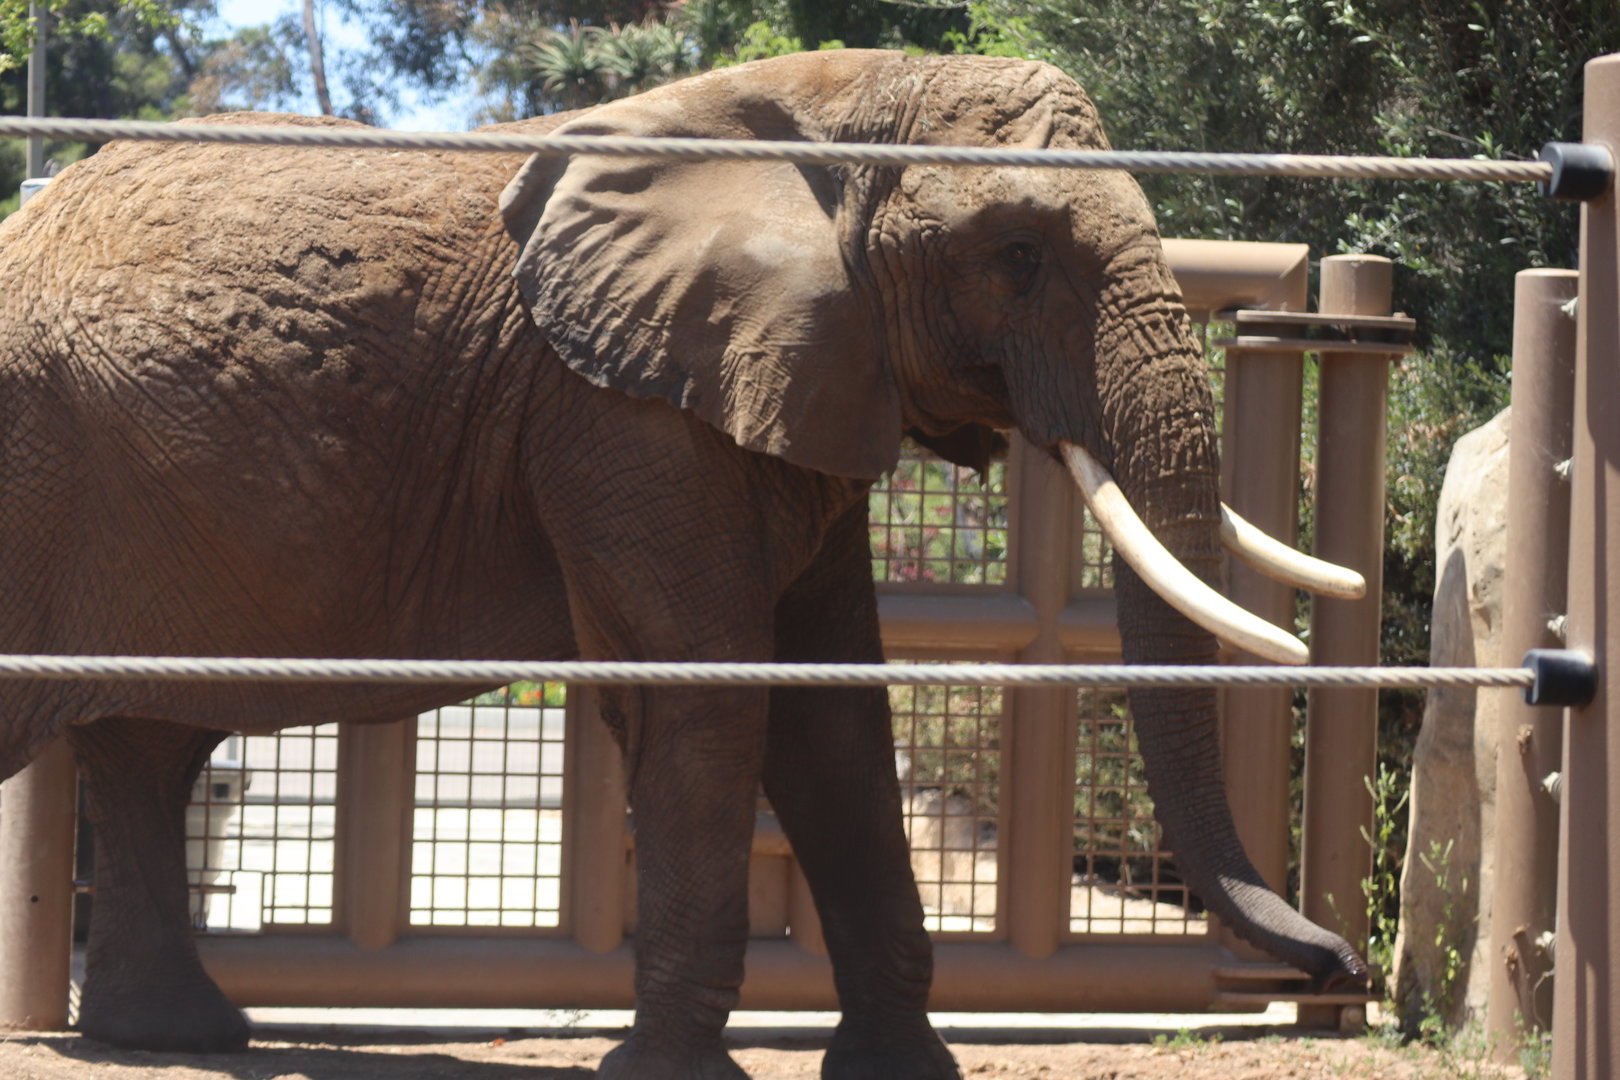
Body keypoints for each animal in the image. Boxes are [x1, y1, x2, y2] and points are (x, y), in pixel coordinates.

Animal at [0, 49, 1367, 1079]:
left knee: (147, 747)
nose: (1342, 964)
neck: (825, 110)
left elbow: (835, 715)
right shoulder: (620, 409)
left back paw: (176, 1039)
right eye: (1019, 255)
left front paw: (899, 1073)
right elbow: (708, 695)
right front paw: (666, 1075)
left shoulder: (787, 379)